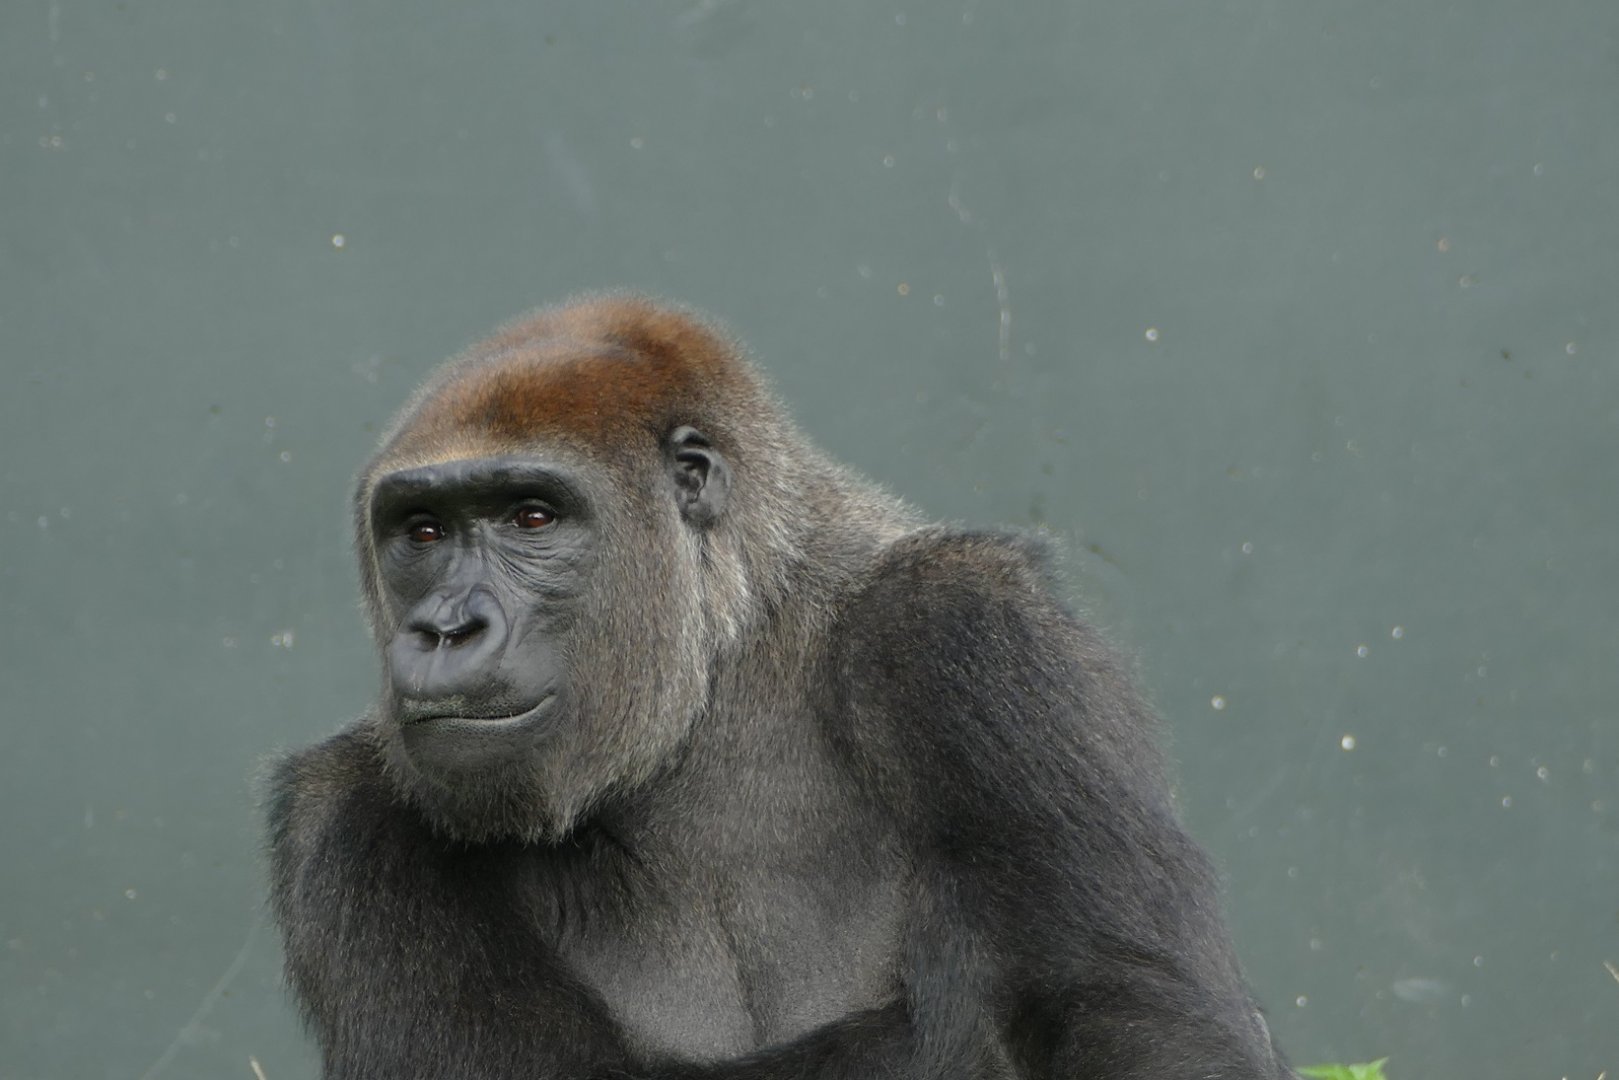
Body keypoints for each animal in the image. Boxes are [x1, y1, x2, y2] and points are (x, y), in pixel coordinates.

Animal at [267, 294, 1292, 1080]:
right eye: (422, 532)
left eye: (532, 516)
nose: (445, 629)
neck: (726, 659)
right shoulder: (341, 812)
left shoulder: (967, 629)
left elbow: (1134, 1018)